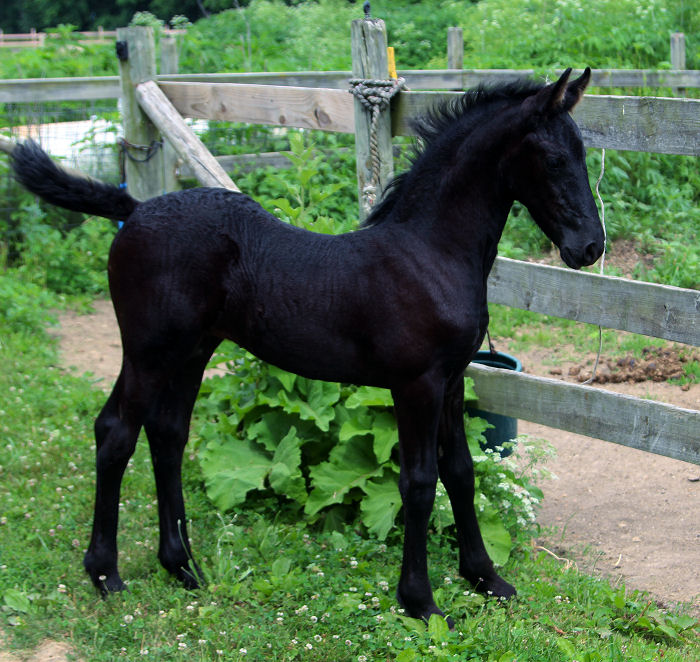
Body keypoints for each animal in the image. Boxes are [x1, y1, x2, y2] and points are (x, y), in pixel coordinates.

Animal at [11, 67, 604, 624]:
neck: (428, 253)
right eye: (554, 158)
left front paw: (486, 578)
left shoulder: (453, 381)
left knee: (168, 433)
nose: (590, 247)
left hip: (192, 350)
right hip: (148, 350)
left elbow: (460, 471)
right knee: (115, 432)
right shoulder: (416, 385)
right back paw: (105, 574)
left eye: (582, 152)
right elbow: (418, 482)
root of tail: (133, 209)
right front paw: (421, 602)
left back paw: (182, 566)